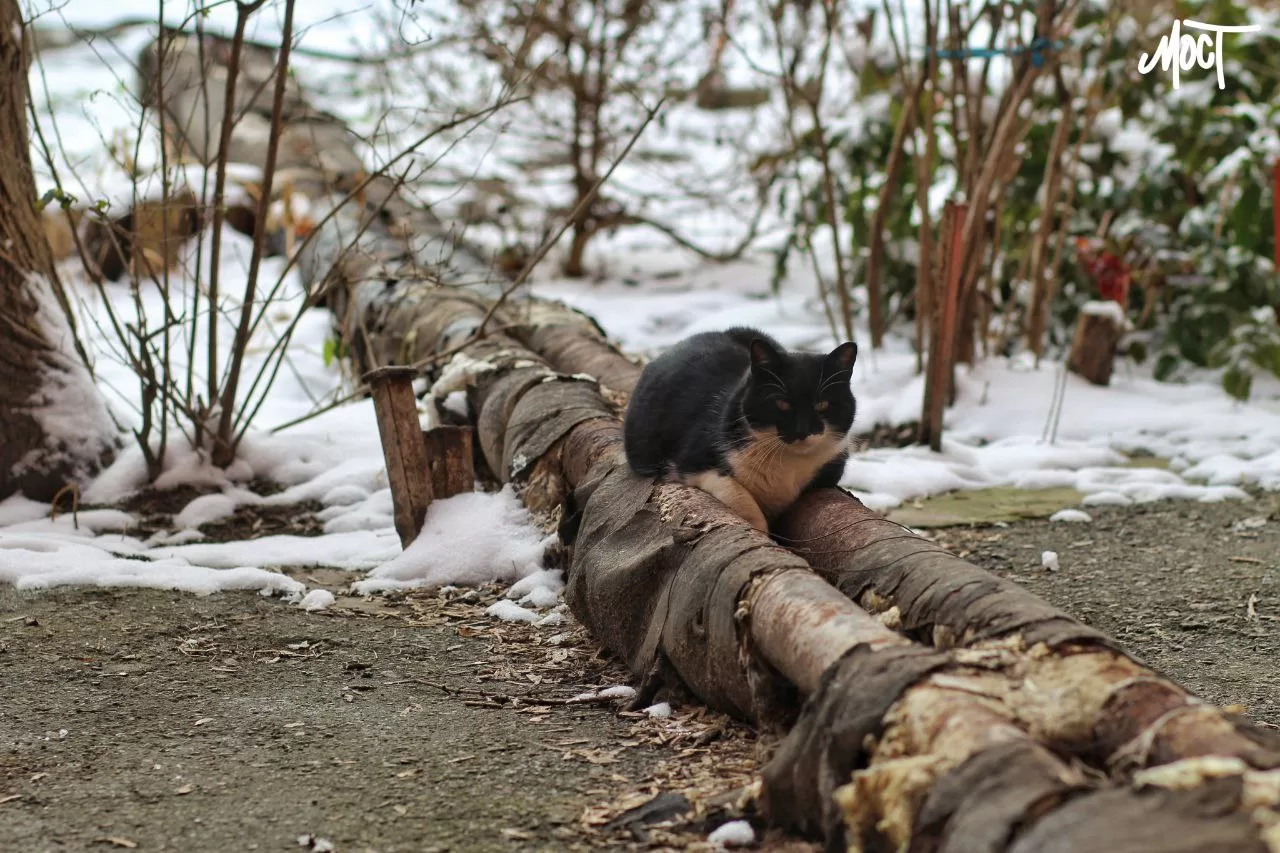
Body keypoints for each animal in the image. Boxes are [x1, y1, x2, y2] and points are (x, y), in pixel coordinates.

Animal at [622, 326, 855, 532]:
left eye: (822, 404)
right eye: (781, 404)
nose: (802, 430)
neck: (788, 461)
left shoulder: (834, 461)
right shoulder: (693, 462)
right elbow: (737, 494)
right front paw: (762, 531)